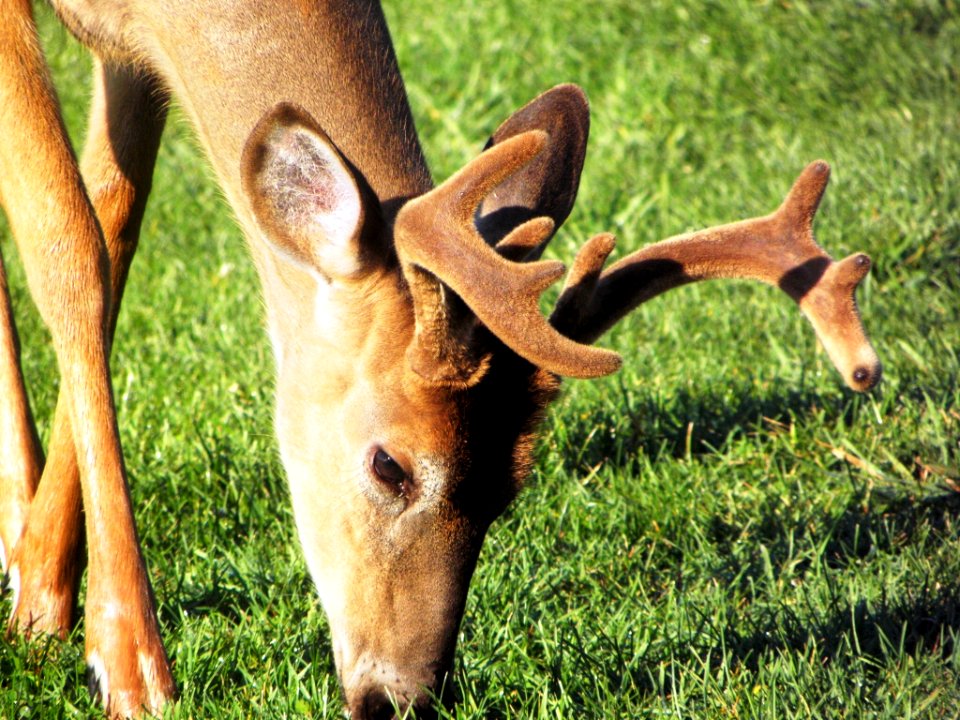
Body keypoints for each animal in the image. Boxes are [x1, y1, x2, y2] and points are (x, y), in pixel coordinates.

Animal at [0, 0, 880, 716]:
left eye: (509, 486)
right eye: (390, 465)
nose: (399, 699)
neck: (159, 14)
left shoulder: (133, 49)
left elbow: (115, 223)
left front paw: (41, 582)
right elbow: (70, 247)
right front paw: (126, 664)